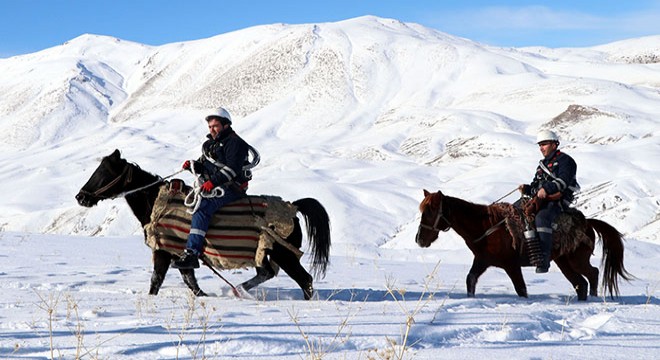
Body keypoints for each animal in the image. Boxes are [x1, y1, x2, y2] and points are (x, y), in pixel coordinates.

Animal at [75, 148, 330, 298]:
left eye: (105, 172)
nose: (81, 197)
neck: (155, 201)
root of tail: (293, 207)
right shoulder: (177, 254)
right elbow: (190, 281)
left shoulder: (164, 250)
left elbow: (157, 280)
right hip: (266, 253)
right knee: (266, 273)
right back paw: (239, 290)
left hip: (283, 254)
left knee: (305, 280)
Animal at [416, 190, 632, 300]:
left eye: (430, 210)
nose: (419, 239)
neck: (486, 227)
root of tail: (588, 222)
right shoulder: (482, 261)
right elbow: (470, 280)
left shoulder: (512, 265)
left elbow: (521, 289)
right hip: (564, 262)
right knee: (581, 283)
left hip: (576, 260)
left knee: (592, 274)